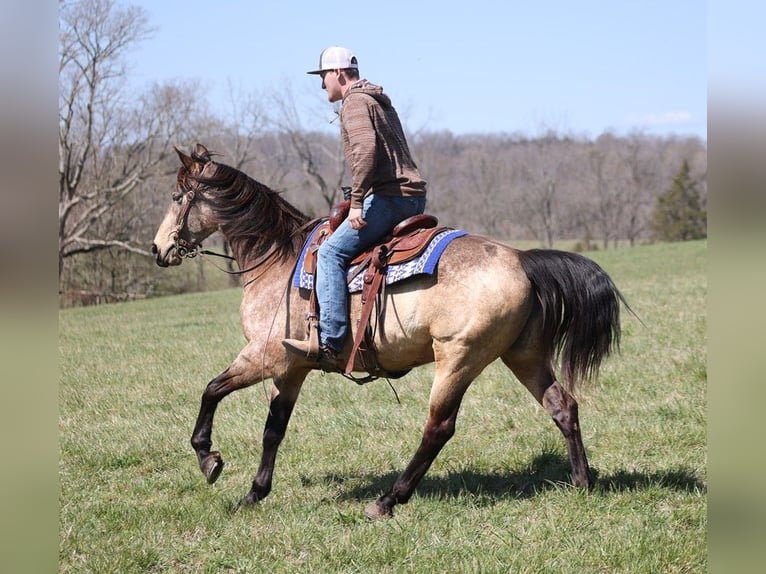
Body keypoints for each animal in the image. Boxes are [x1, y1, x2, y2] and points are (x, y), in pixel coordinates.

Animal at [153, 144, 632, 520]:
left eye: (177, 196)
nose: (159, 249)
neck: (277, 257)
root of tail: (521, 258)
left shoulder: (264, 356)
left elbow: (211, 390)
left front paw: (209, 459)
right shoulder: (291, 367)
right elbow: (274, 428)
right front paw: (254, 493)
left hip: (458, 359)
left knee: (439, 427)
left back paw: (388, 500)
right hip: (523, 355)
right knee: (563, 406)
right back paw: (582, 482)